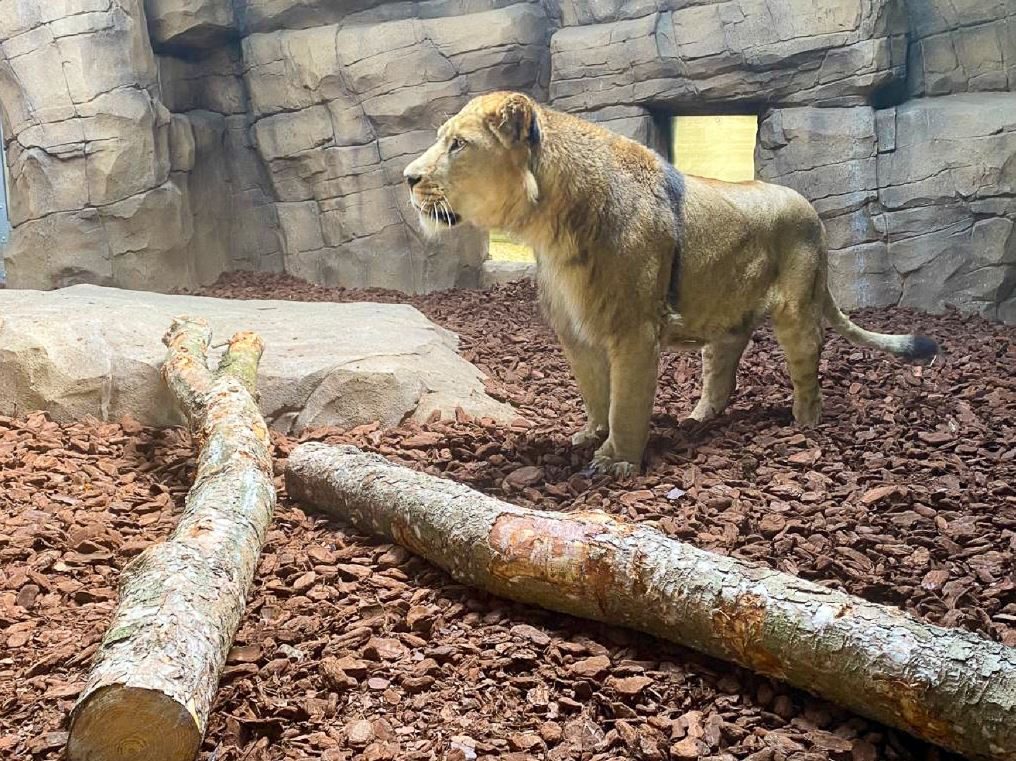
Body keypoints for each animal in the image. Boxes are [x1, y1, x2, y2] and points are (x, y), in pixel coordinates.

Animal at [403, 91, 938, 477]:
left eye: (458, 145)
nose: (408, 177)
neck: (549, 230)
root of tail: (813, 213)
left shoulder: (635, 330)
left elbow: (626, 400)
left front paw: (616, 461)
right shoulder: (575, 333)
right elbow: (594, 392)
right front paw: (589, 435)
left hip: (798, 309)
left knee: (808, 372)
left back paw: (804, 425)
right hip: (725, 322)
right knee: (721, 372)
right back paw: (697, 419)